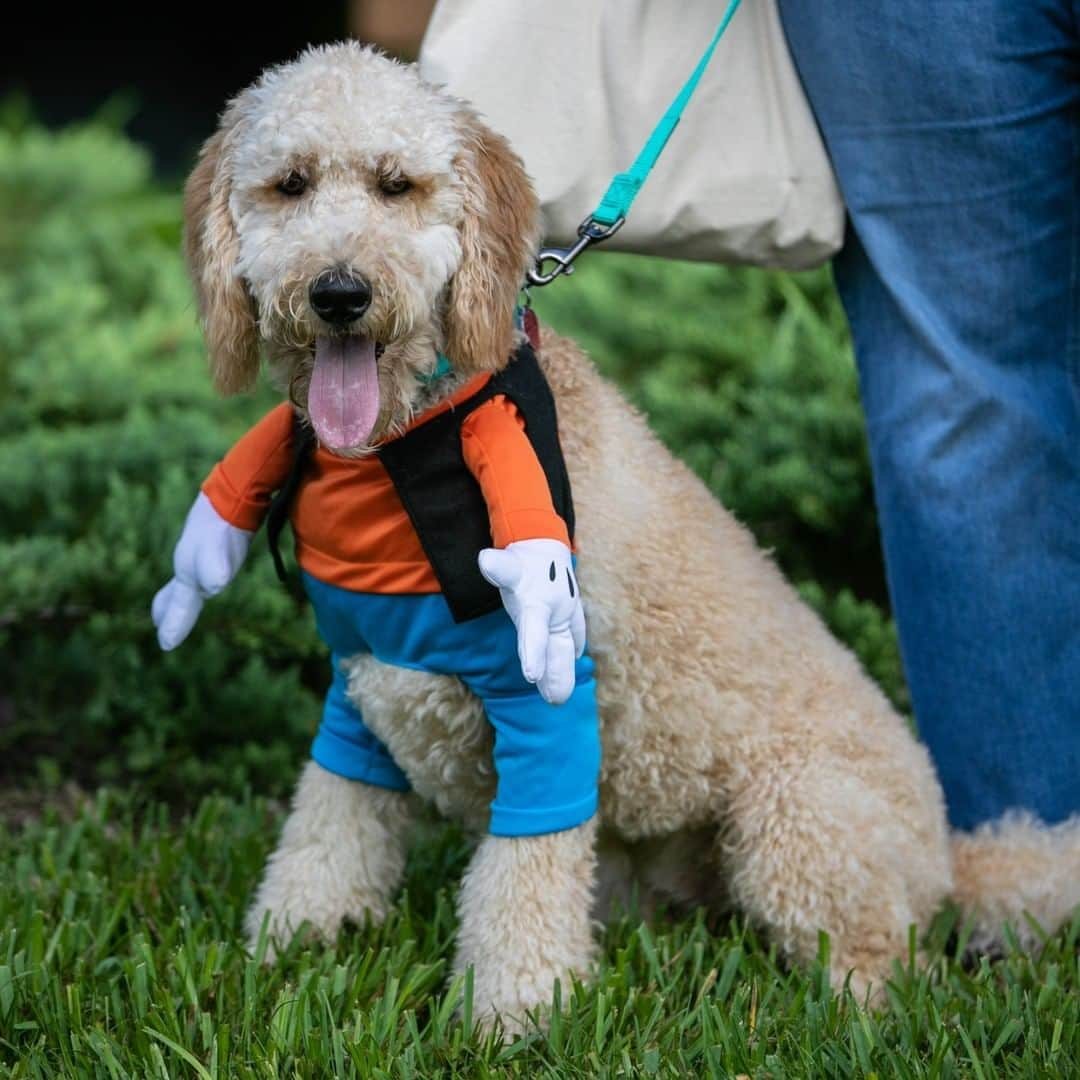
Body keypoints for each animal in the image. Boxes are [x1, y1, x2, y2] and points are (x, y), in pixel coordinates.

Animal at [157, 44, 954, 1028]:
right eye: (291, 183)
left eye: (396, 185)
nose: (340, 293)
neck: (411, 447)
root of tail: (954, 853)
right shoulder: (364, 680)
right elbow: (328, 828)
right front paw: (289, 945)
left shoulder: (548, 700)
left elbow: (523, 875)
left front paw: (512, 1013)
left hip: (797, 819)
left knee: (886, 962)